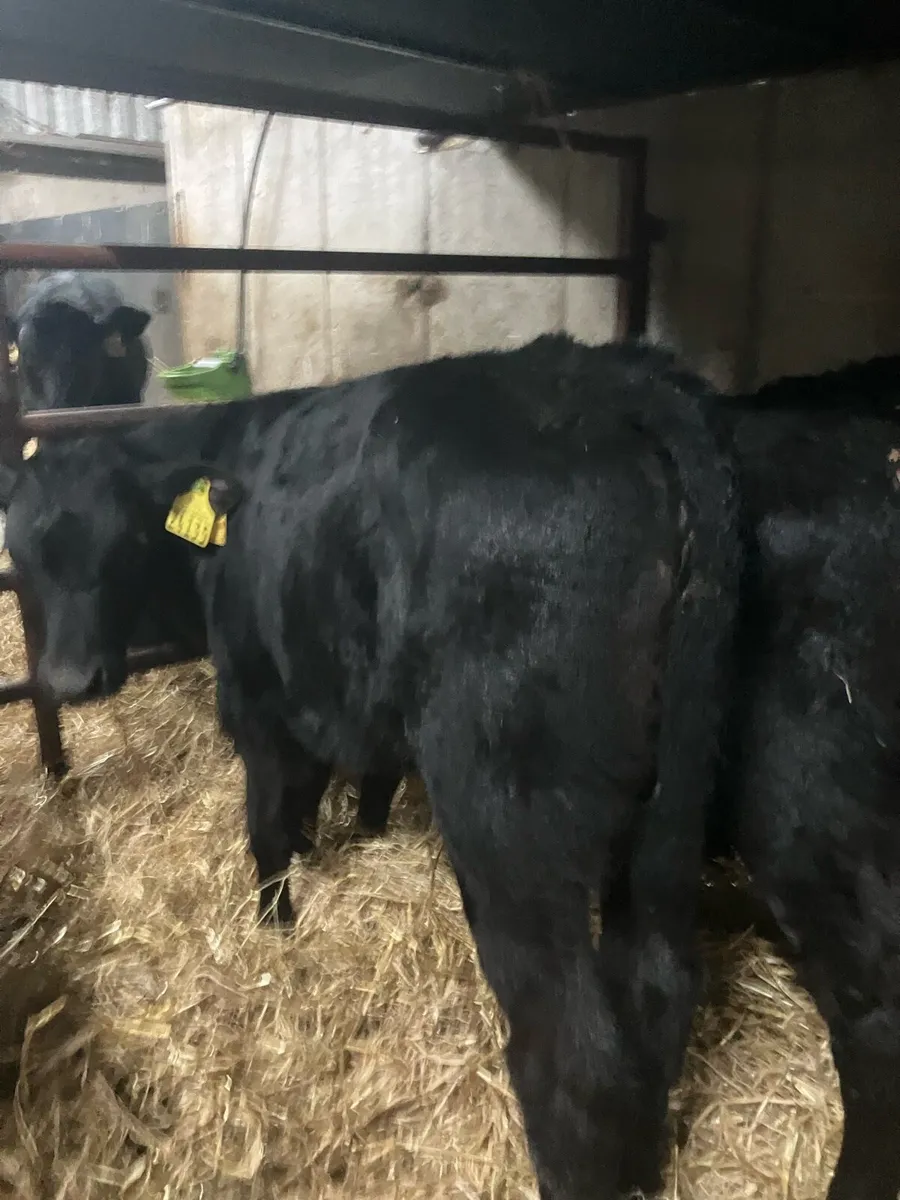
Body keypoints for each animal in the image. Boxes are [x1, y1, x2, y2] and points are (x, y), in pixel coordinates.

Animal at [0, 334, 742, 1200]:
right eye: (23, 552)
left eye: (122, 545)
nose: (70, 679)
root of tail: (605, 380)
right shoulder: (348, 697)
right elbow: (354, 790)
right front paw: (344, 844)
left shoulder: (257, 698)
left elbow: (268, 823)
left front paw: (276, 926)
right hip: (672, 803)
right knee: (658, 982)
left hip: (509, 810)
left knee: (572, 1037)